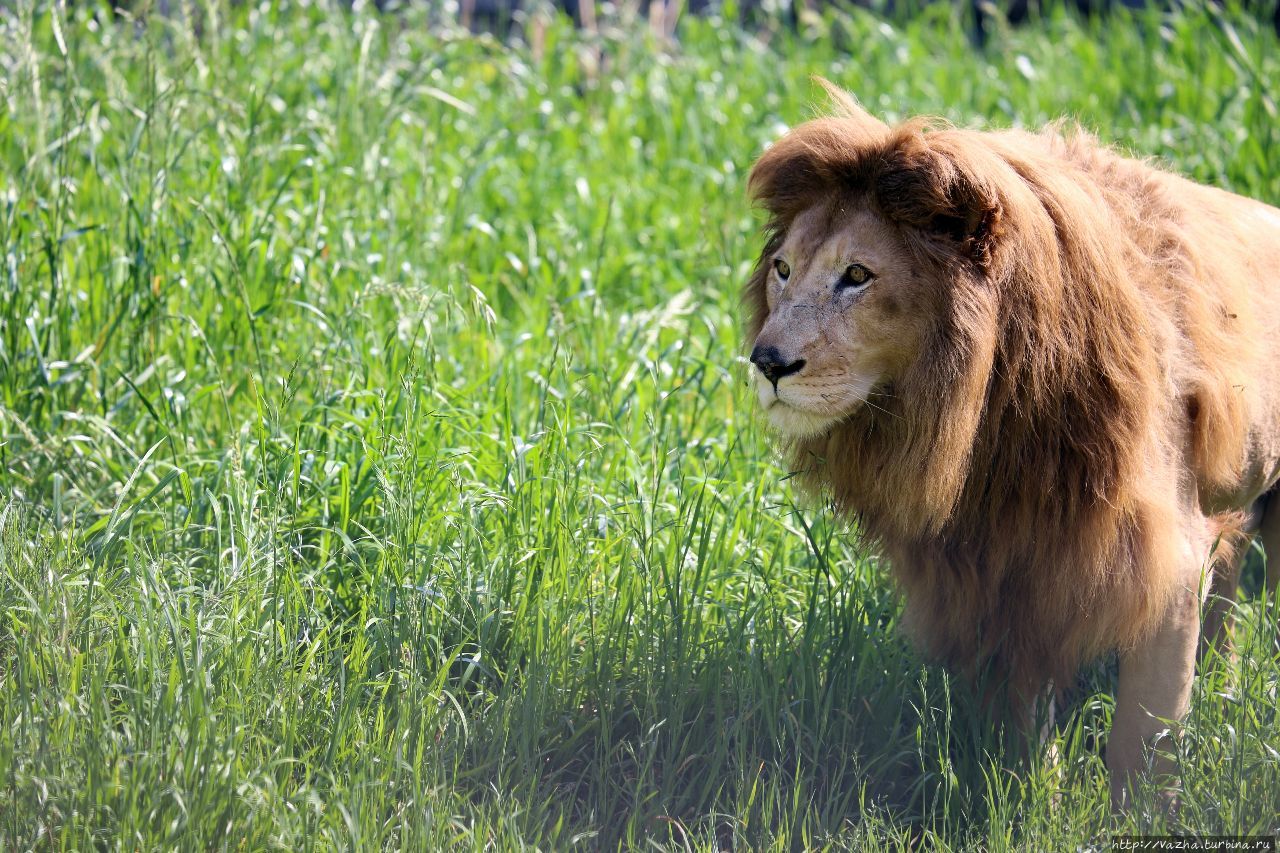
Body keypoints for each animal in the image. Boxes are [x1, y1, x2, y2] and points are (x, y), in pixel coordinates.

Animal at [742, 83, 1280, 809]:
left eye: (857, 274)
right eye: (782, 270)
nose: (766, 361)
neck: (990, 427)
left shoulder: (1165, 555)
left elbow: (1145, 738)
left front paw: (1137, 813)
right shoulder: (1005, 561)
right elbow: (1025, 725)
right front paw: (1032, 805)